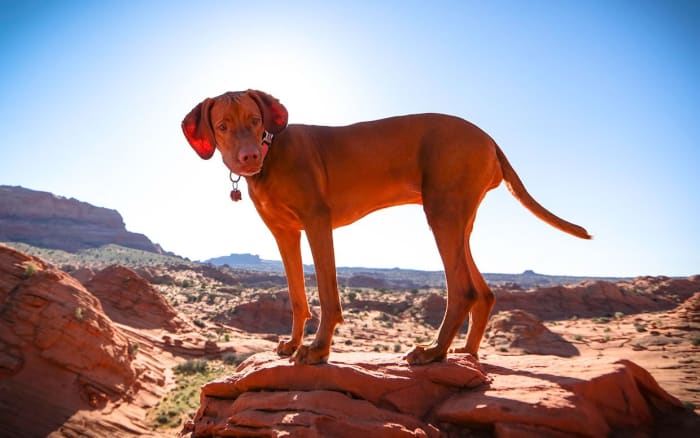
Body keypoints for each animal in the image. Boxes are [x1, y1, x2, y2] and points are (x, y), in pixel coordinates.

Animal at [182, 90, 592, 366]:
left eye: (255, 120)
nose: (248, 157)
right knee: (484, 290)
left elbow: (328, 295)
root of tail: (490, 138)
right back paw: (466, 352)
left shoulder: (318, 222)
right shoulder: (285, 234)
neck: (272, 154)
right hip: (459, 219)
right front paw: (292, 343)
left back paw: (433, 352)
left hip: (442, 214)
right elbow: (298, 296)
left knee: (463, 289)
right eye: (223, 126)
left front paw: (318, 349)